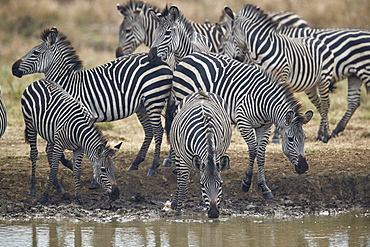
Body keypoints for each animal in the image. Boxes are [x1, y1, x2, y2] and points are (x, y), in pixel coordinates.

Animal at [11, 27, 173, 178]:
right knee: (149, 130)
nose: (13, 68)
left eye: (35, 53)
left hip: (153, 99)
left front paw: (72, 164)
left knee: (158, 130)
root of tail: (164, 62)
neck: (67, 85)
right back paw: (135, 163)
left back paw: (153, 167)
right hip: (142, 105)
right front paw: (68, 163)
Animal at [166, 51, 314, 199]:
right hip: (183, 98)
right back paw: (176, 167)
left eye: (305, 138)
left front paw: (264, 186)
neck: (264, 102)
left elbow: (261, 154)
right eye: (290, 139)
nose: (304, 167)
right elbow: (253, 150)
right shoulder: (244, 122)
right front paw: (246, 182)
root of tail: (189, 56)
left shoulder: (265, 127)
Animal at [168, 89, 231, 217]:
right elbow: (183, 184)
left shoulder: (218, 154)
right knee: (179, 178)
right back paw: (175, 202)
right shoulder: (184, 159)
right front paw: (178, 212)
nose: (213, 213)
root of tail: (201, 92)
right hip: (177, 153)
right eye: (202, 185)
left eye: (221, 184)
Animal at [223, 4, 336, 144]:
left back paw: (326, 135)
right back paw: (321, 134)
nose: (237, 58)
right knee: (319, 104)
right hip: (311, 85)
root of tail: (319, 41)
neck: (262, 50)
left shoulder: (282, 76)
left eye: (232, 34)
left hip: (324, 79)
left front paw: (277, 135)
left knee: (326, 104)